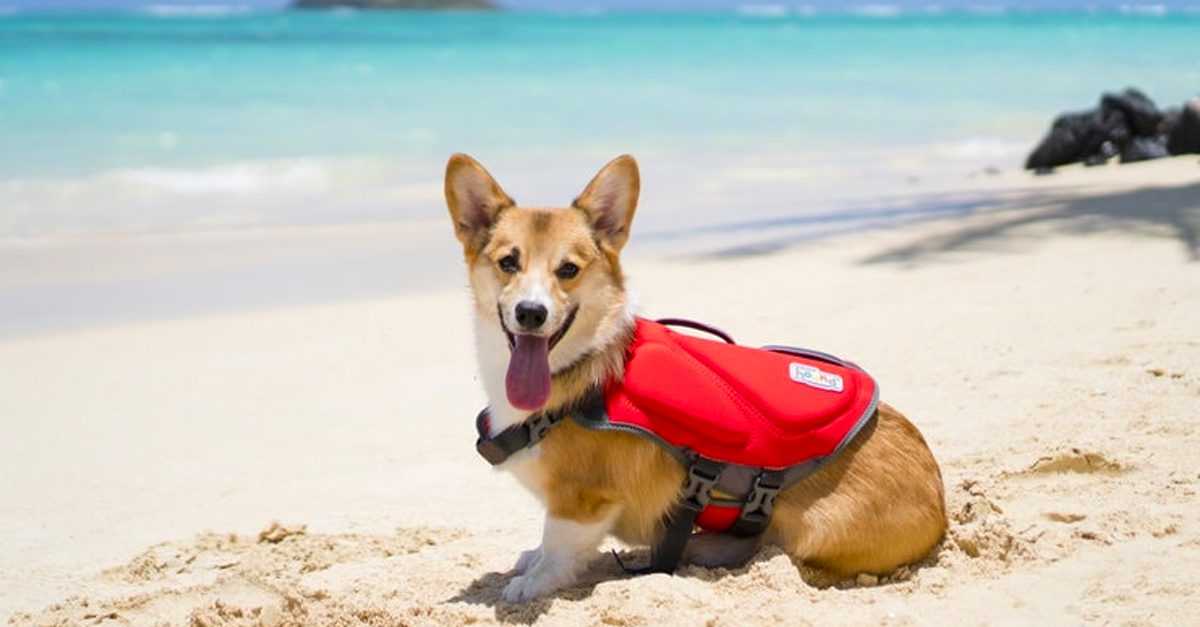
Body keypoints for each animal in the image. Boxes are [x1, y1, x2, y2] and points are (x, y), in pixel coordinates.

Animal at [444, 151, 945, 600]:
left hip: (812, 532)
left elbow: (558, 544)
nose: (531, 313)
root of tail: (939, 500)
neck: (576, 370)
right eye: (508, 263)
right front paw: (531, 560)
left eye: (568, 269)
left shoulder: (582, 503)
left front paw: (534, 582)